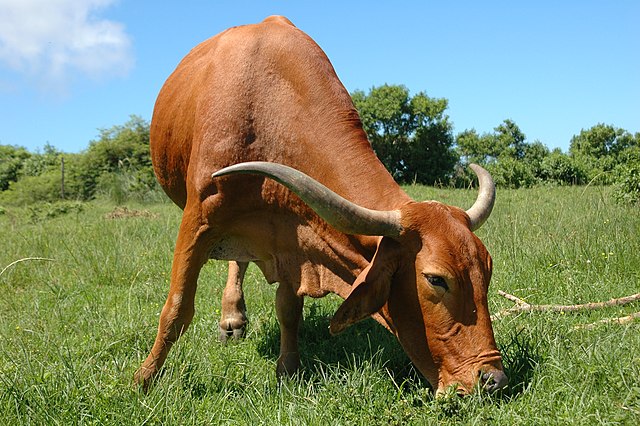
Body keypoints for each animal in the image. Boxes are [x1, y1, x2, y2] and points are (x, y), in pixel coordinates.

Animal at [134, 15, 507, 395]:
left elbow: (288, 308)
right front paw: (144, 379)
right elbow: (176, 310)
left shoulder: (293, 237)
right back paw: (229, 321)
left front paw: (287, 369)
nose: (493, 379)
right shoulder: (198, 219)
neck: (269, 110)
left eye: (487, 270)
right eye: (435, 280)